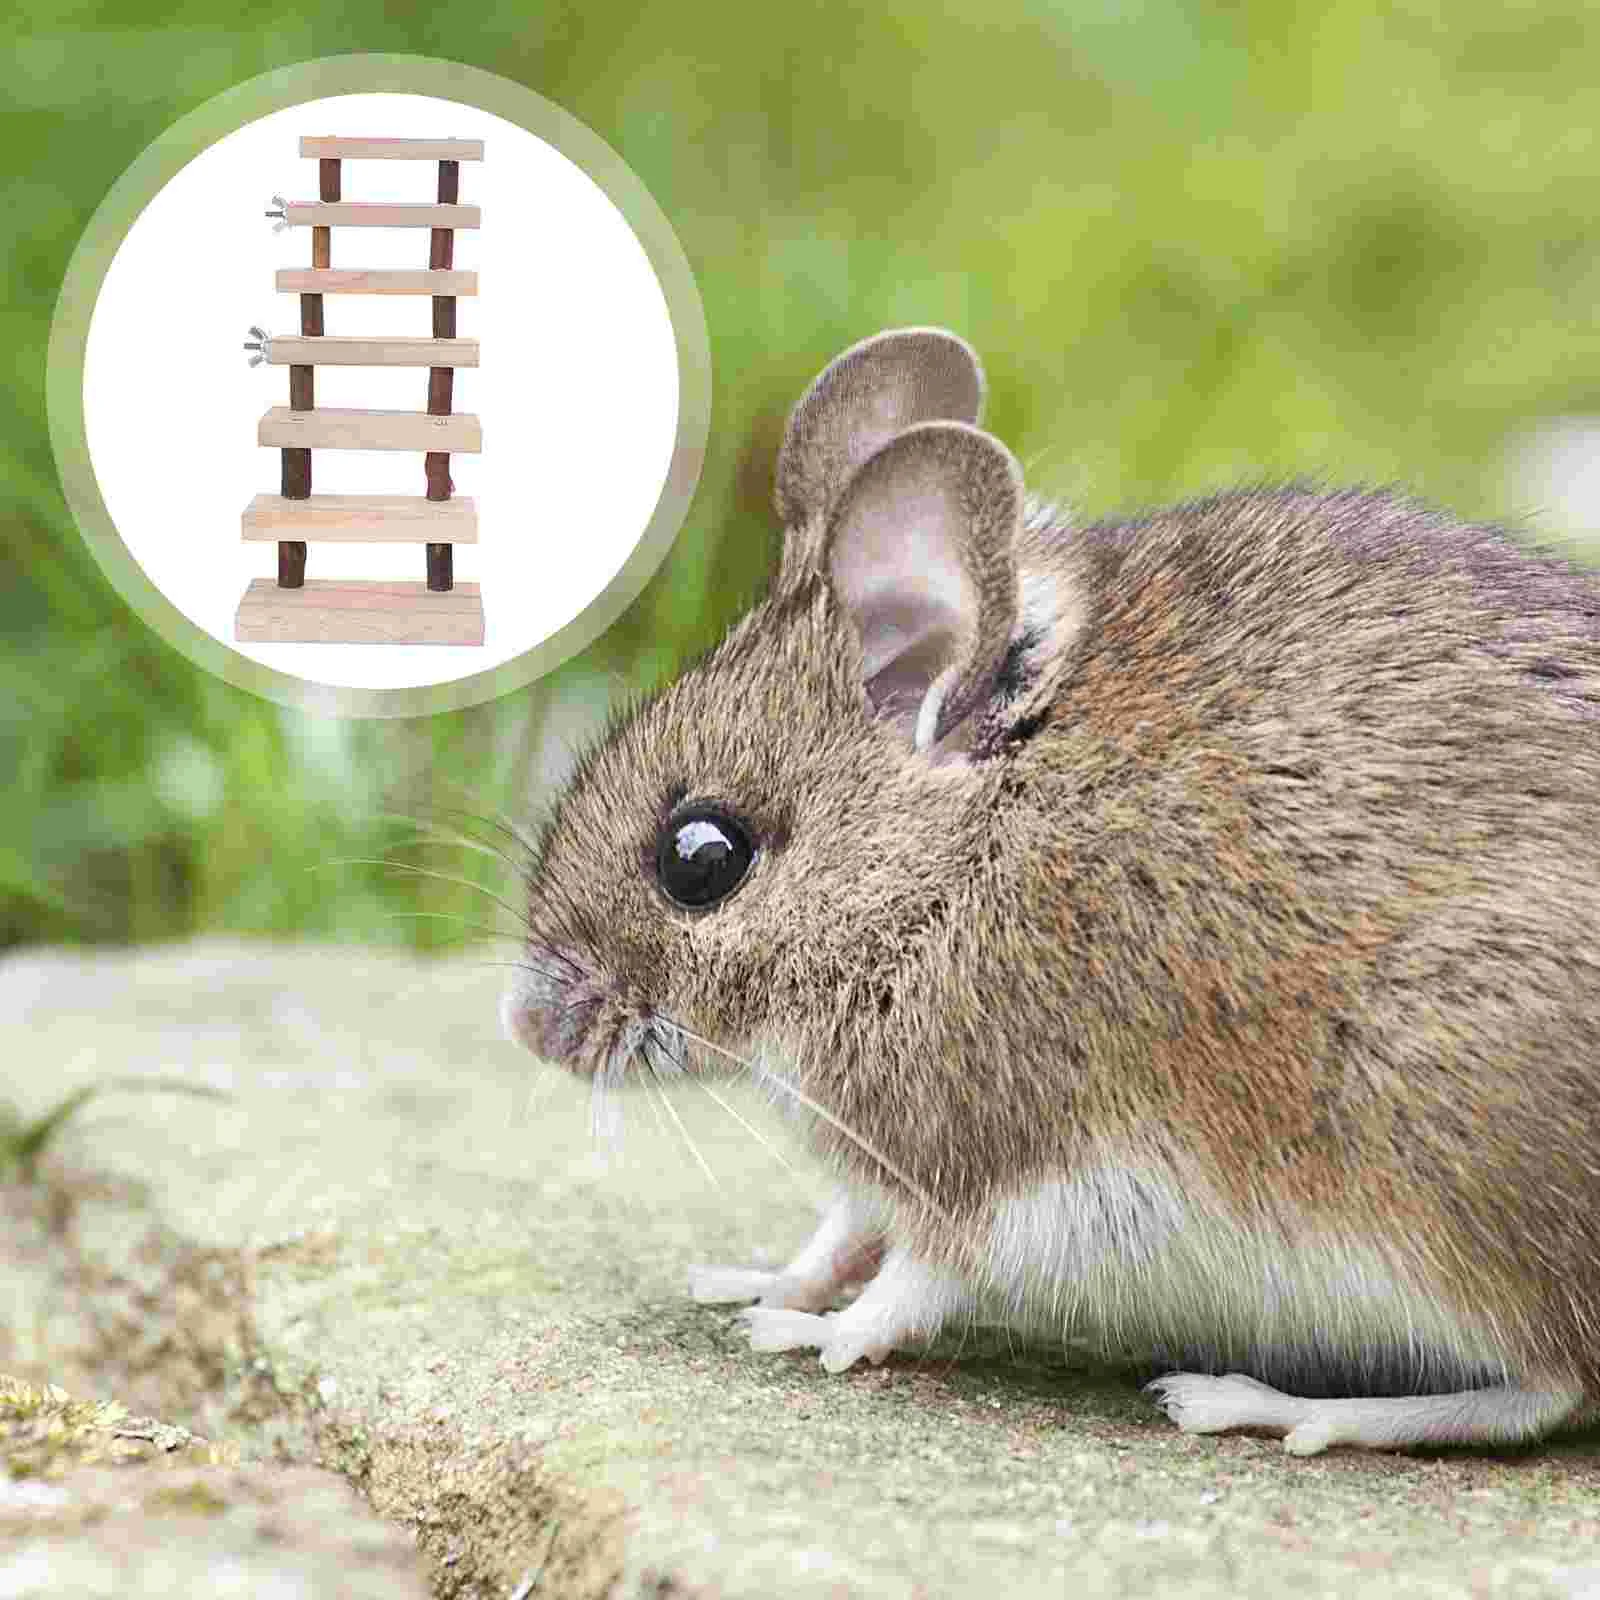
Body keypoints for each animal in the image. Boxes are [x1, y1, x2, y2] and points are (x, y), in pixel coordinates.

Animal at [502, 327, 1600, 1455]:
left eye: (701, 858)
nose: (531, 1028)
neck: (945, 860)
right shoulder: (884, 1157)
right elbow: (841, 1227)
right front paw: (757, 1280)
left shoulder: (1011, 1175)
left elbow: (911, 1280)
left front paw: (809, 1334)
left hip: (1435, 1160)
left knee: (1545, 1387)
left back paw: (1273, 1405)